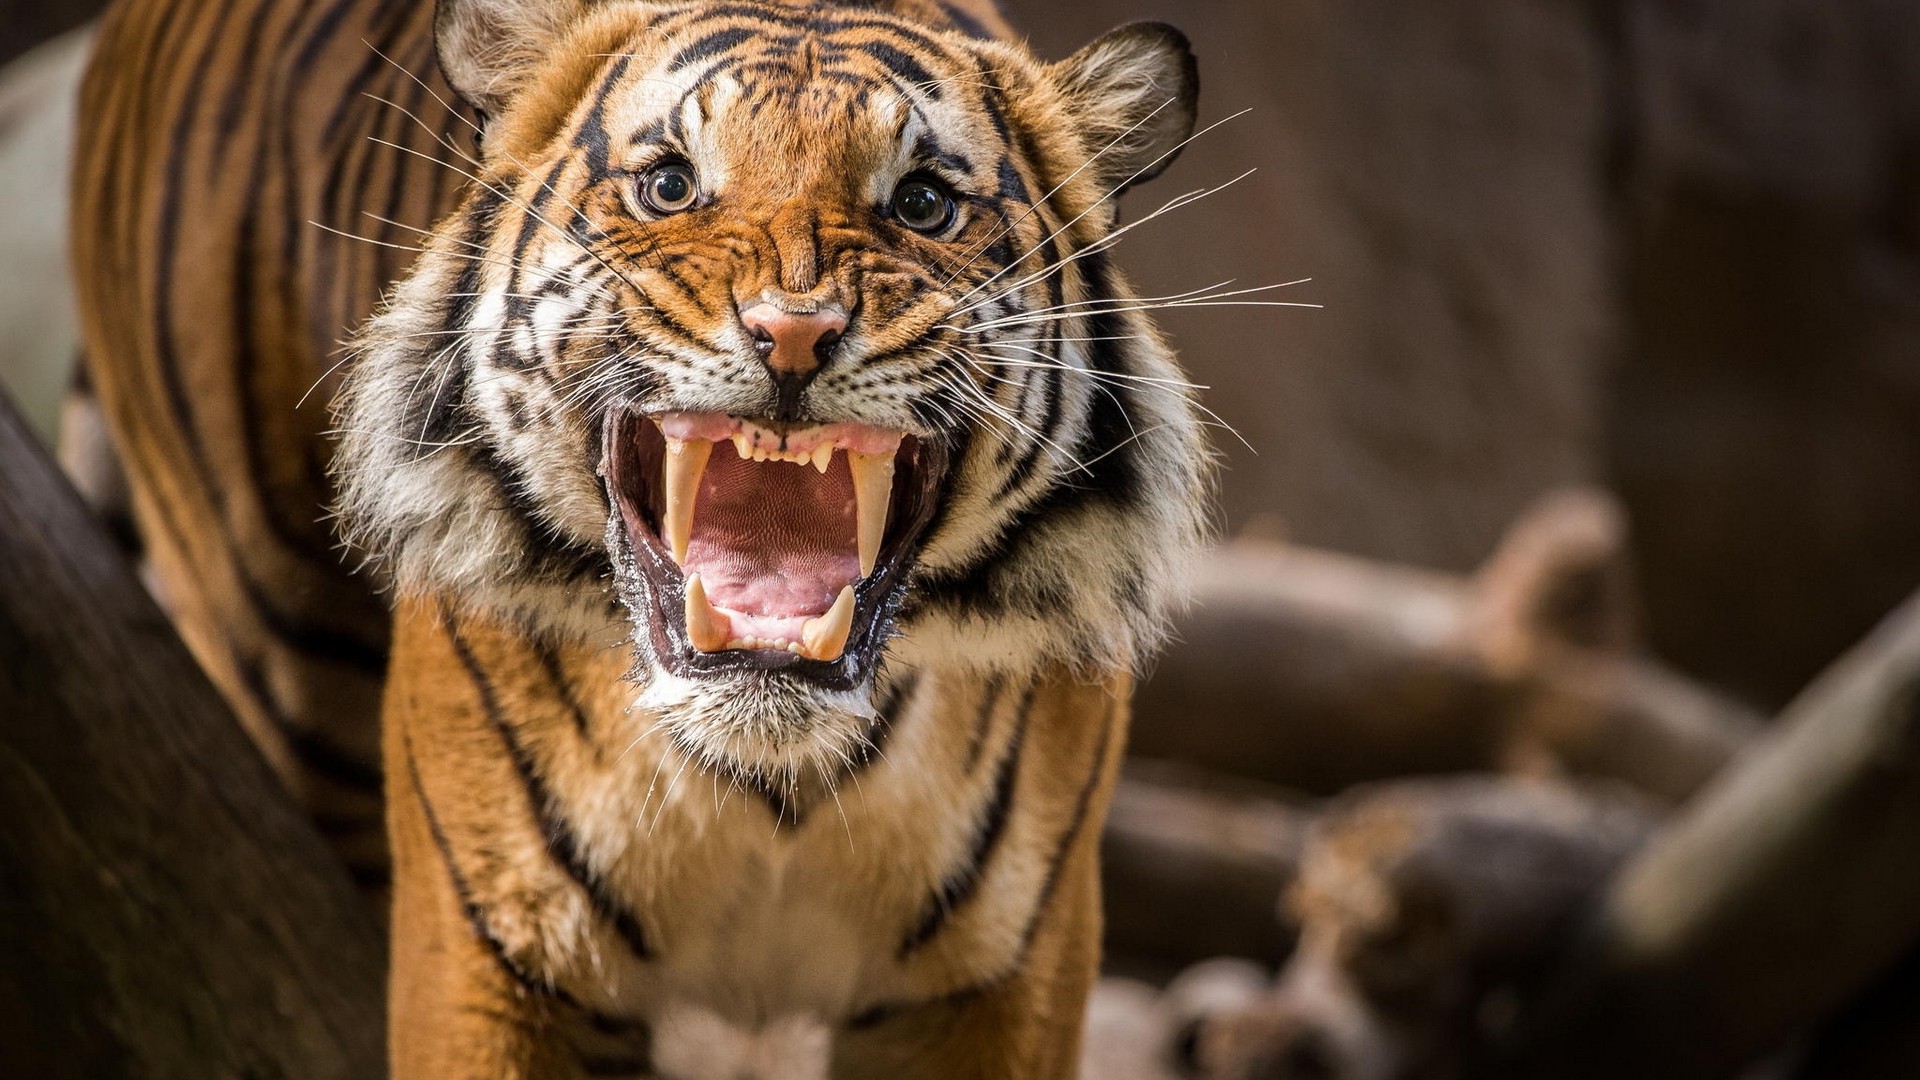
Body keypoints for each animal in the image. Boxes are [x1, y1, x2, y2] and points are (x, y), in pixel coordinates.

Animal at [70, 0, 1212, 1075]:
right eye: (670, 186)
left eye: (922, 203)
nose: (792, 332)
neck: (775, 778)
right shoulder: (492, 953)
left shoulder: (1003, 977)